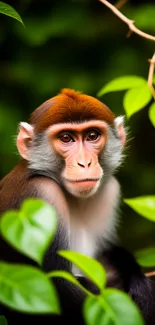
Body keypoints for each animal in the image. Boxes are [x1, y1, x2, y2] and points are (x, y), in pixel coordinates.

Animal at [0, 87, 154, 322]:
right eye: (66, 138)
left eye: (92, 135)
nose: (85, 163)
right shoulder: (42, 193)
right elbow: (58, 286)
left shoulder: (109, 190)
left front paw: (136, 276)